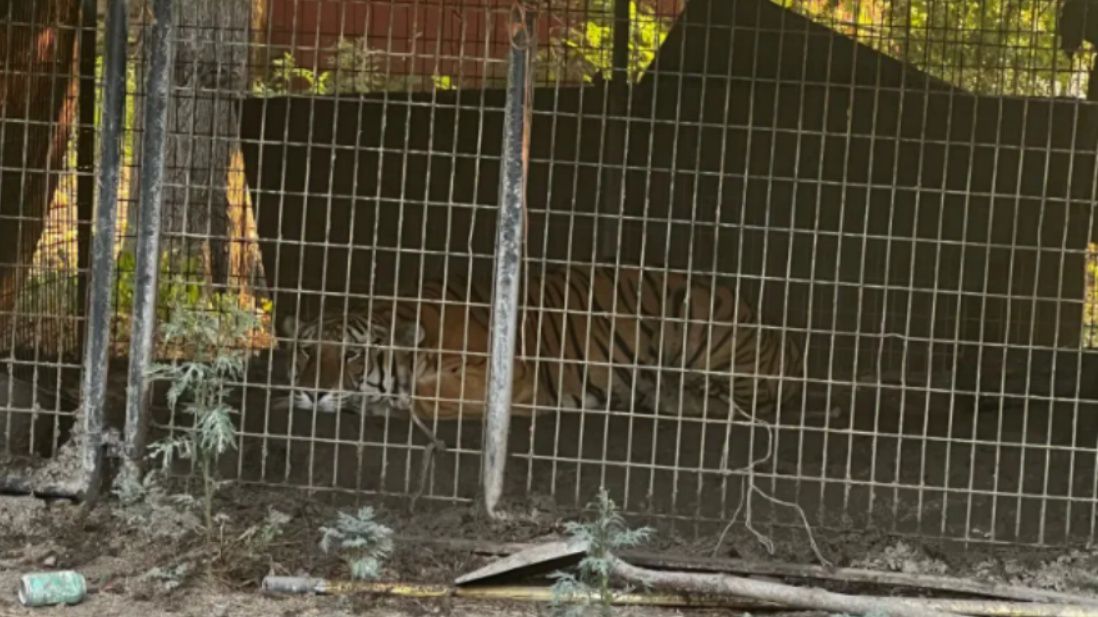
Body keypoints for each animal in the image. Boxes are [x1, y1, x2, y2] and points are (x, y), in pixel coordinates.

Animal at [278, 259, 803, 421]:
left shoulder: (507, 374)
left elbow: (431, 395)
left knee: (739, 405)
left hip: (695, 309)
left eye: (351, 354)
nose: (311, 391)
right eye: (306, 350)